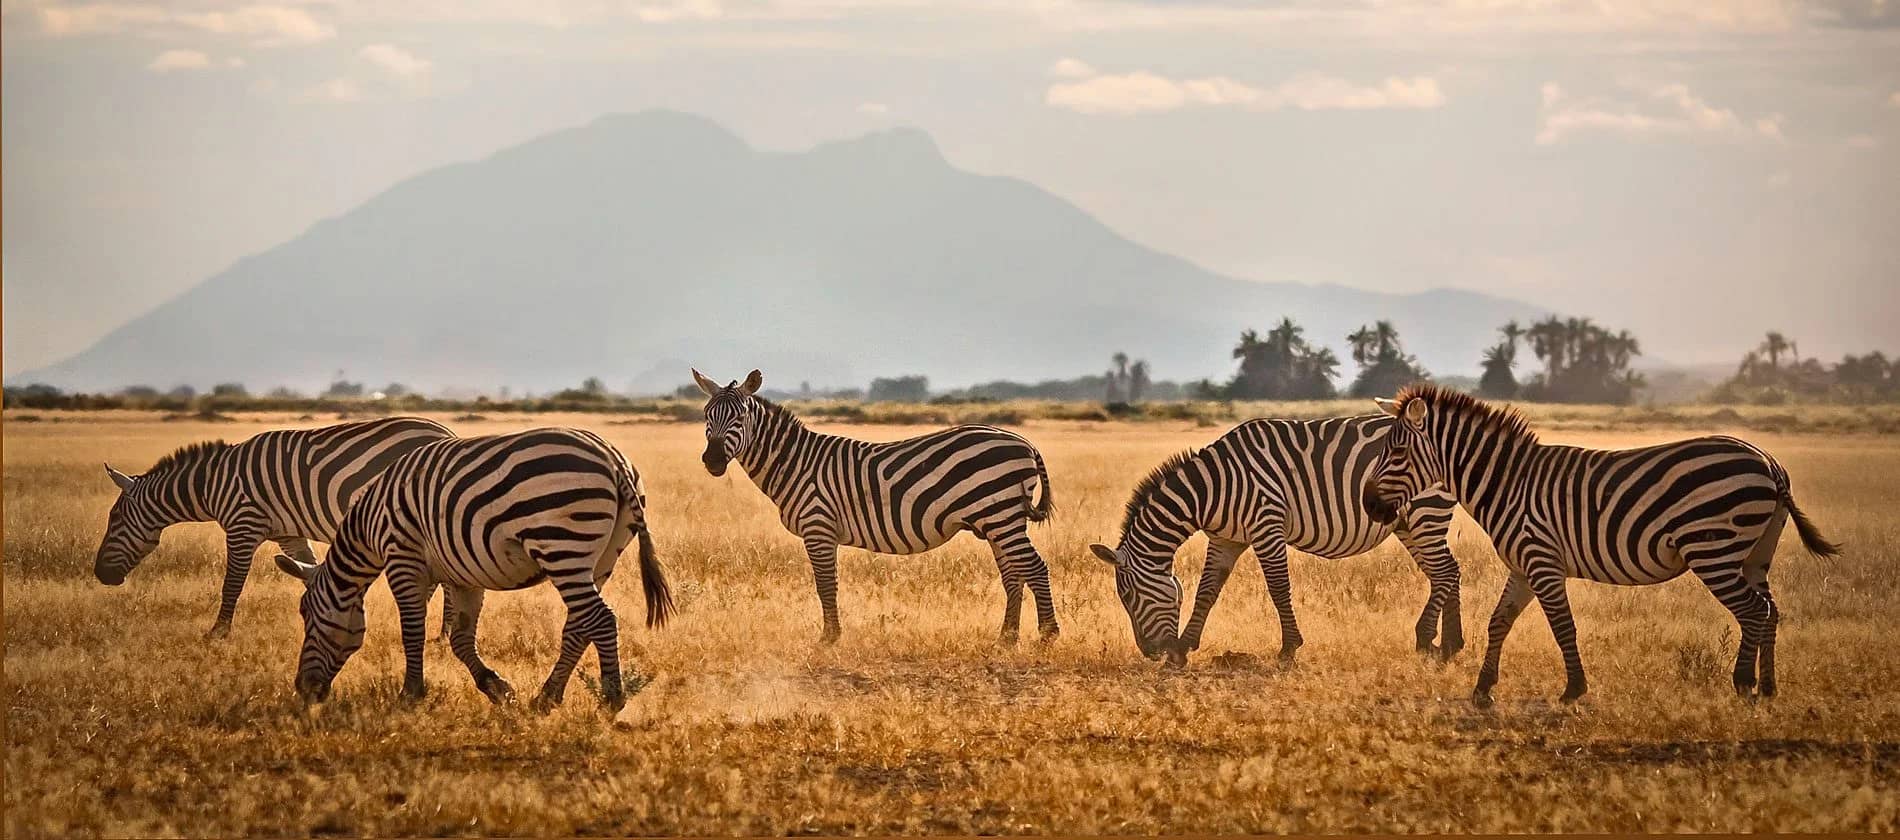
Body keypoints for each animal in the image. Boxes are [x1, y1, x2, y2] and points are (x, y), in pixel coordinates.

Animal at [94, 415, 454, 639]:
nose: (100, 574)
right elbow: (307, 568)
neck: (211, 485)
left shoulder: (243, 525)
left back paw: (441, 632)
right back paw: (440, 631)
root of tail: (446, 434)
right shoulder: (289, 534)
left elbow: (232, 583)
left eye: (115, 519)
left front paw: (218, 632)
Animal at [272, 427, 673, 712]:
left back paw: (611, 699)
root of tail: (614, 461)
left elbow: (412, 630)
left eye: (306, 614)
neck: (369, 526)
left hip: (561, 545)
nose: (303, 690)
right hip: (601, 557)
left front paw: (410, 694)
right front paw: (497, 689)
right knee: (579, 625)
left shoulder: (403, 558)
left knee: (600, 619)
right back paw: (546, 698)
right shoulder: (462, 575)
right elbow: (461, 639)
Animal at [692, 368, 1057, 645]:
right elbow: (827, 584)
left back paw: (1047, 635)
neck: (796, 463)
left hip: (1000, 515)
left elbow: (825, 585)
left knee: (1035, 567)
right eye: (707, 416)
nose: (712, 461)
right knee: (1014, 574)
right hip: (998, 520)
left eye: (740, 417)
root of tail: (1026, 442)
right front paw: (832, 634)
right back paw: (1007, 638)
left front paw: (829, 637)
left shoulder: (818, 527)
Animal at [1089, 416, 1463, 667]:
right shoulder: (1225, 539)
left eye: (1128, 596)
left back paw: (1426, 640)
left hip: (1425, 510)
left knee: (1445, 571)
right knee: (1447, 572)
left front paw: (1288, 649)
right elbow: (1207, 591)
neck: (1211, 488)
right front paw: (1181, 650)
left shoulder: (1266, 525)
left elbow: (1278, 588)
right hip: (1408, 522)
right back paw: (1449, 645)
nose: (1150, 653)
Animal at [1361, 385, 1840, 705]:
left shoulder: (1542, 561)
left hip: (1714, 550)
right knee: (1770, 609)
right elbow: (1499, 622)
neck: (1508, 483)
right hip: (1755, 555)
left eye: (1396, 453)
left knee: (1753, 611)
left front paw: (1573, 690)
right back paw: (1769, 686)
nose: (1368, 504)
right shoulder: (1522, 565)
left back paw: (1743, 684)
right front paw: (1482, 689)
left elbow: (1563, 626)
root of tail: (1769, 462)